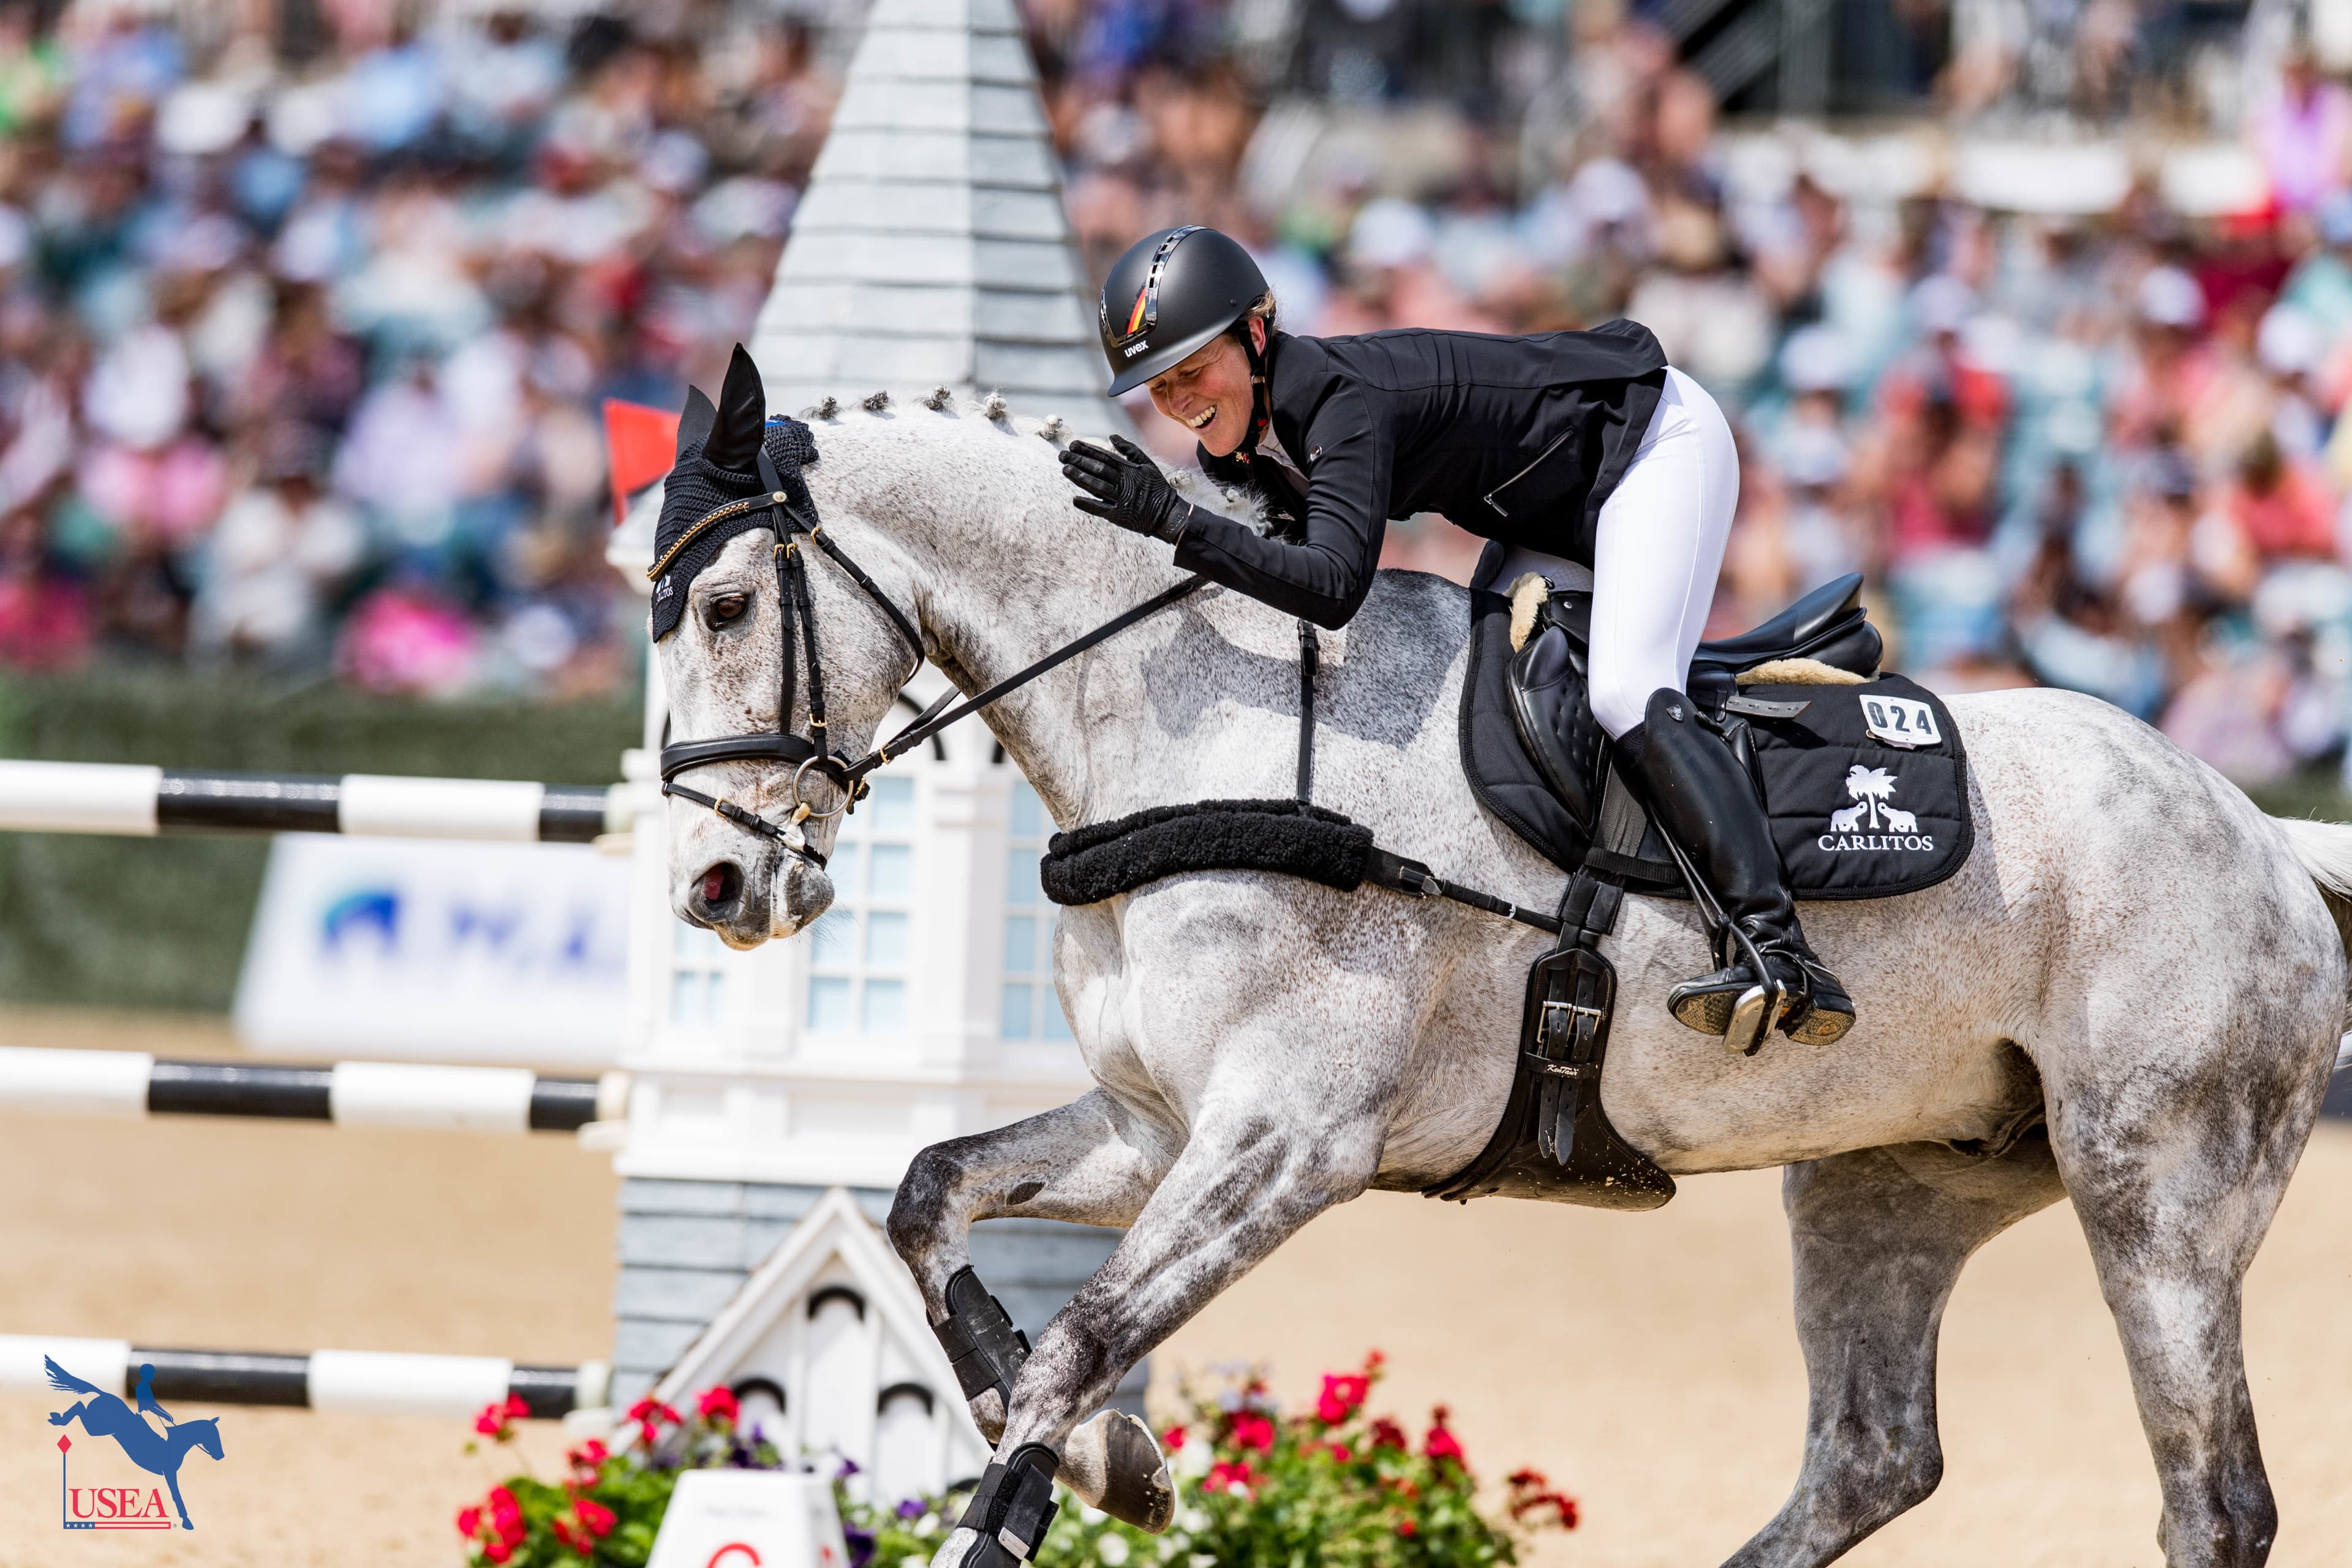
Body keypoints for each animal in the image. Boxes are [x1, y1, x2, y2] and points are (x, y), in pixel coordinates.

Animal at [46, 1357, 223, 1530]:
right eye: (212, 1436)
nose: (221, 1456)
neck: (176, 1444)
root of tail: (104, 1394)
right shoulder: (169, 1472)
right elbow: (177, 1496)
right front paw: (187, 1522)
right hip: (97, 1428)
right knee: (79, 1407)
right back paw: (58, 1419)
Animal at [651, 356, 2350, 1568]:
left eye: (725, 604)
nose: (715, 886)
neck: (1188, 722)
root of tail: (2260, 827)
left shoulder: (1286, 1139)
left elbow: (1079, 1346)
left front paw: (1079, 1453)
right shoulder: (1154, 1126)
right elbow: (936, 1200)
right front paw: (1108, 1454)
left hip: (2156, 1192)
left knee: (2211, 1502)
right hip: (1890, 1180)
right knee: (1872, 1456)